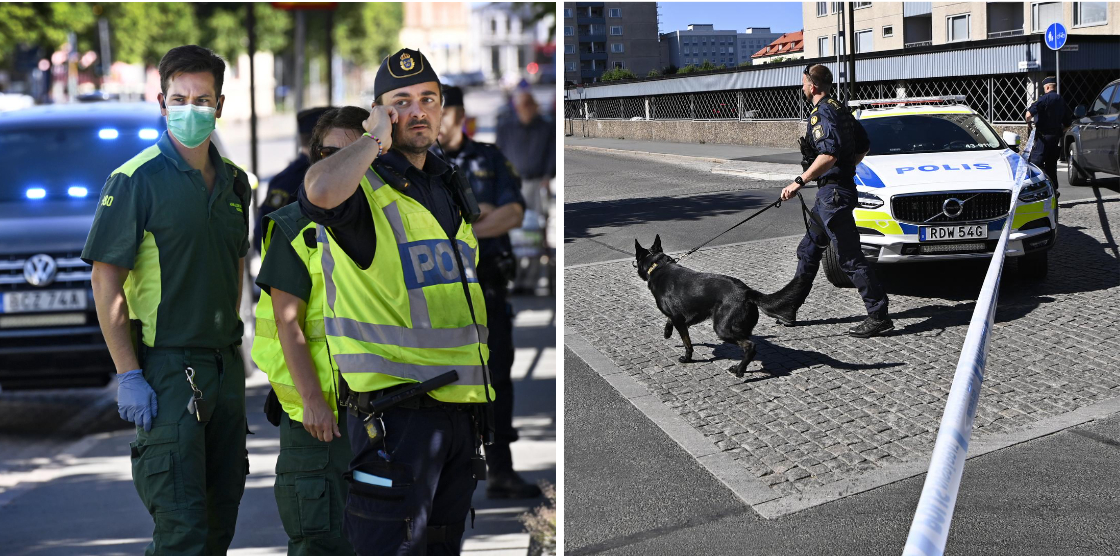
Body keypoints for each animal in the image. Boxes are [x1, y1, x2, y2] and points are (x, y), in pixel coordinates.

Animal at [636, 234, 810, 378]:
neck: (658, 266)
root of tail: (746, 291)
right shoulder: (684, 318)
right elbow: (670, 321)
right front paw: (667, 332)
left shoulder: (679, 319)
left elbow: (687, 343)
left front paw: (687, 358)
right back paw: (741, 367)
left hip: (722, 328)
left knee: (750, 346)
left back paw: (739, 371)